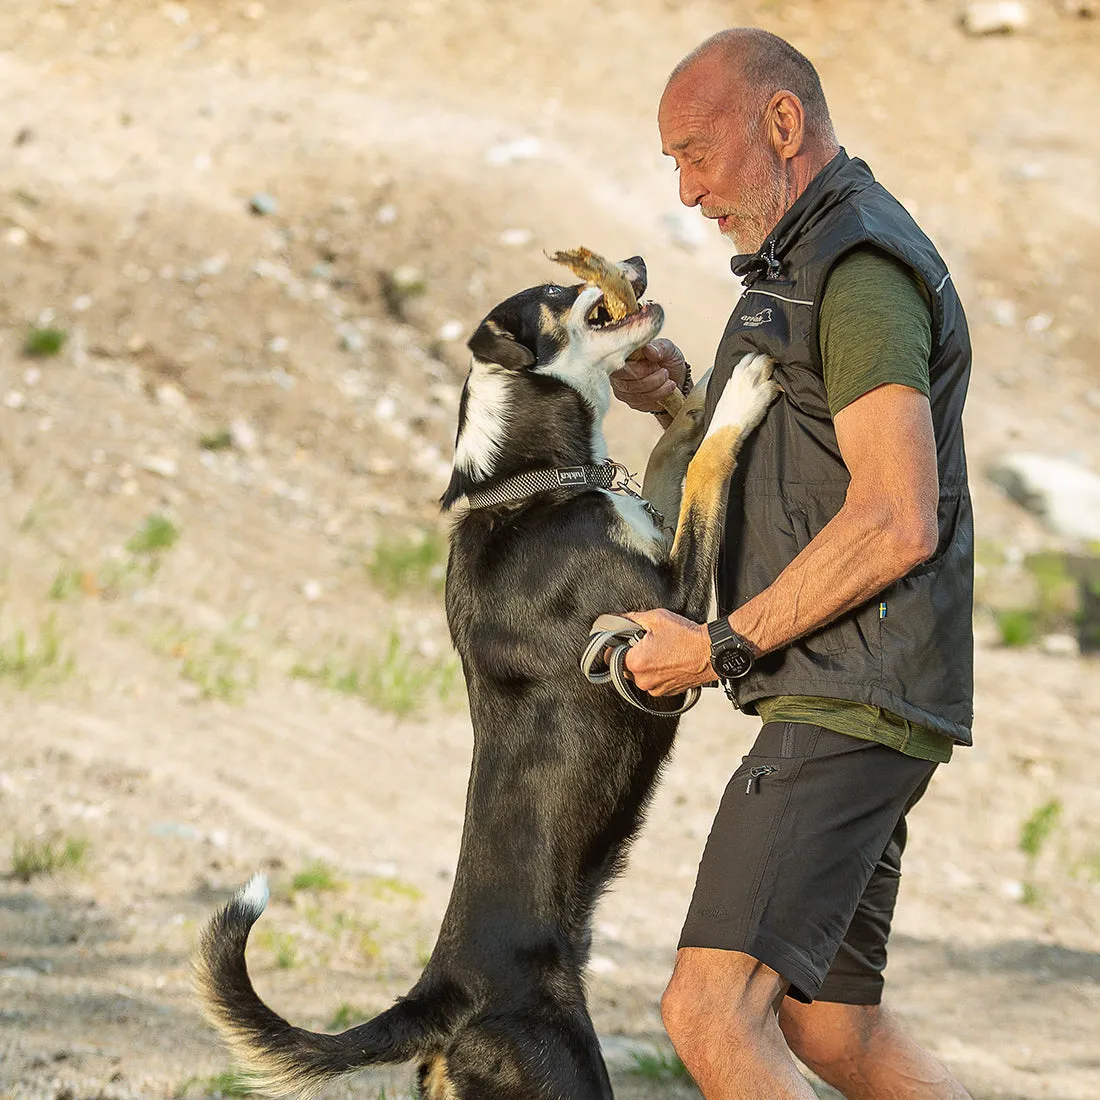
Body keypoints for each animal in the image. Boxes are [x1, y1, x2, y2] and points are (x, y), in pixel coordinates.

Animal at [193, 259, 778, 1100]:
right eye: (556, 294)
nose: (634, 263)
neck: (530, 480)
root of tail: (442, 993)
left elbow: (673, 456)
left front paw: (692, 401)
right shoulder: (668, 624)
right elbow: (705, 466)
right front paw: (738, 395)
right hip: (564, 1073)